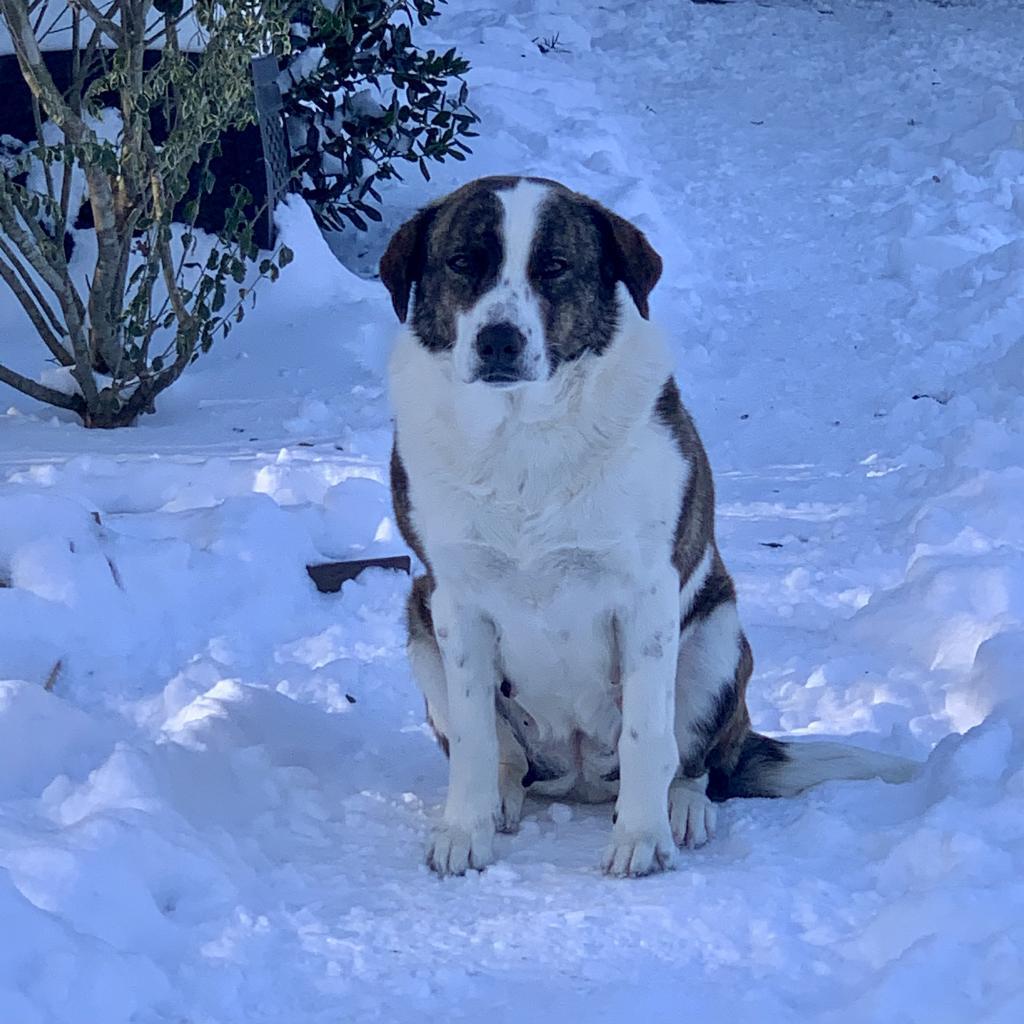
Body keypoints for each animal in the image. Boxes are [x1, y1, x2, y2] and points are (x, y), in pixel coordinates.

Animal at [380, 172, 917, 876]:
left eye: (555, 266)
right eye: (463, 263)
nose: (499, 340)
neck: (524, 435)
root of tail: (579, 776)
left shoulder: (647, 596)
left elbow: (647, 735)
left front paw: (640, 837)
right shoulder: (453, 599)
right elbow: (473, 737)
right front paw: (464, 831)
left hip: (718, 636)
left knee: (691, 762)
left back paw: (681, 810)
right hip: (419, 626)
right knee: (507, 756)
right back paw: (500, 799)